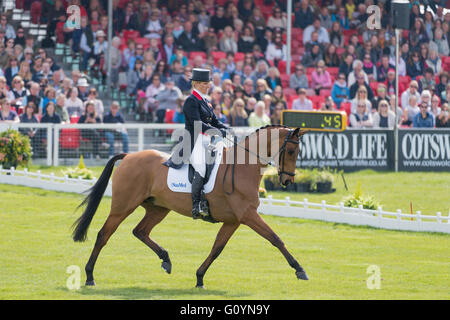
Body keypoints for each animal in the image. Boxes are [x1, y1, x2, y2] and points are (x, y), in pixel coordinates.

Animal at [73, 125, 310, 288]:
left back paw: (166, 260)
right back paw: (90, 276)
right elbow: (275, 239)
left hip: (158, 208)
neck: (243, 166)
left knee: (140, 231)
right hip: (123, 206)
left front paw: (199, 278)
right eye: (290, 152)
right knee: (104, 235)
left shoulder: (234, 220)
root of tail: (130, 156)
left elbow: (217, 248)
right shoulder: (248, 215)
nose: (287, 181)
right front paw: (300, 270)